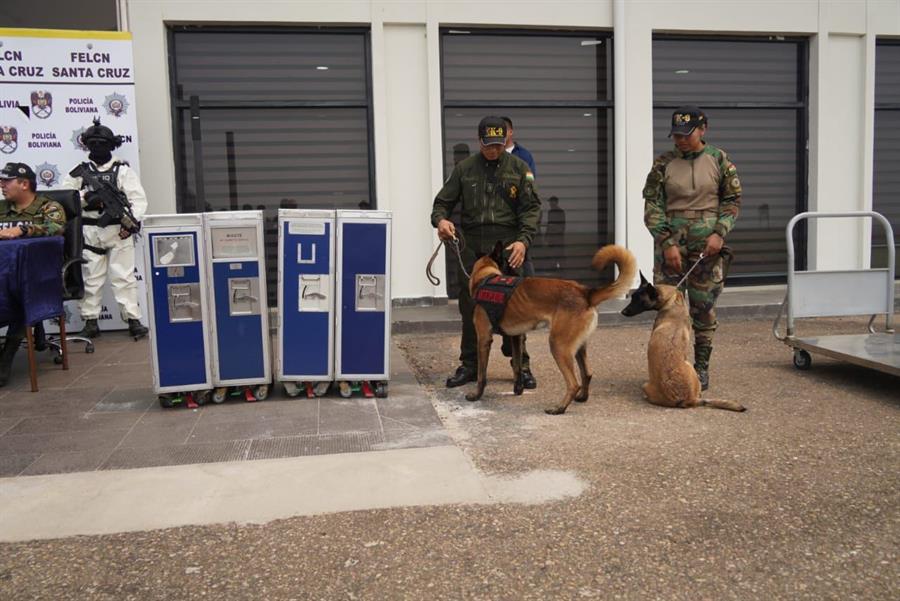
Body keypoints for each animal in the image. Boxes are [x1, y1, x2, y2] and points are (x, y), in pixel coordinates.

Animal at [468, 239, 636, 412]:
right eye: (509, 266)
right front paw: (518, 389)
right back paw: (582, 397)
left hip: (558, 345)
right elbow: (517, 367)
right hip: (577, 346)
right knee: (587, 373)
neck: (484, 276)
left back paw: (559, 408)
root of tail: (585, 293)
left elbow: (481, 375)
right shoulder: (516, 337)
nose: (521, 276)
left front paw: (476, 395)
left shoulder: (484, 339)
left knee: (573, 383)